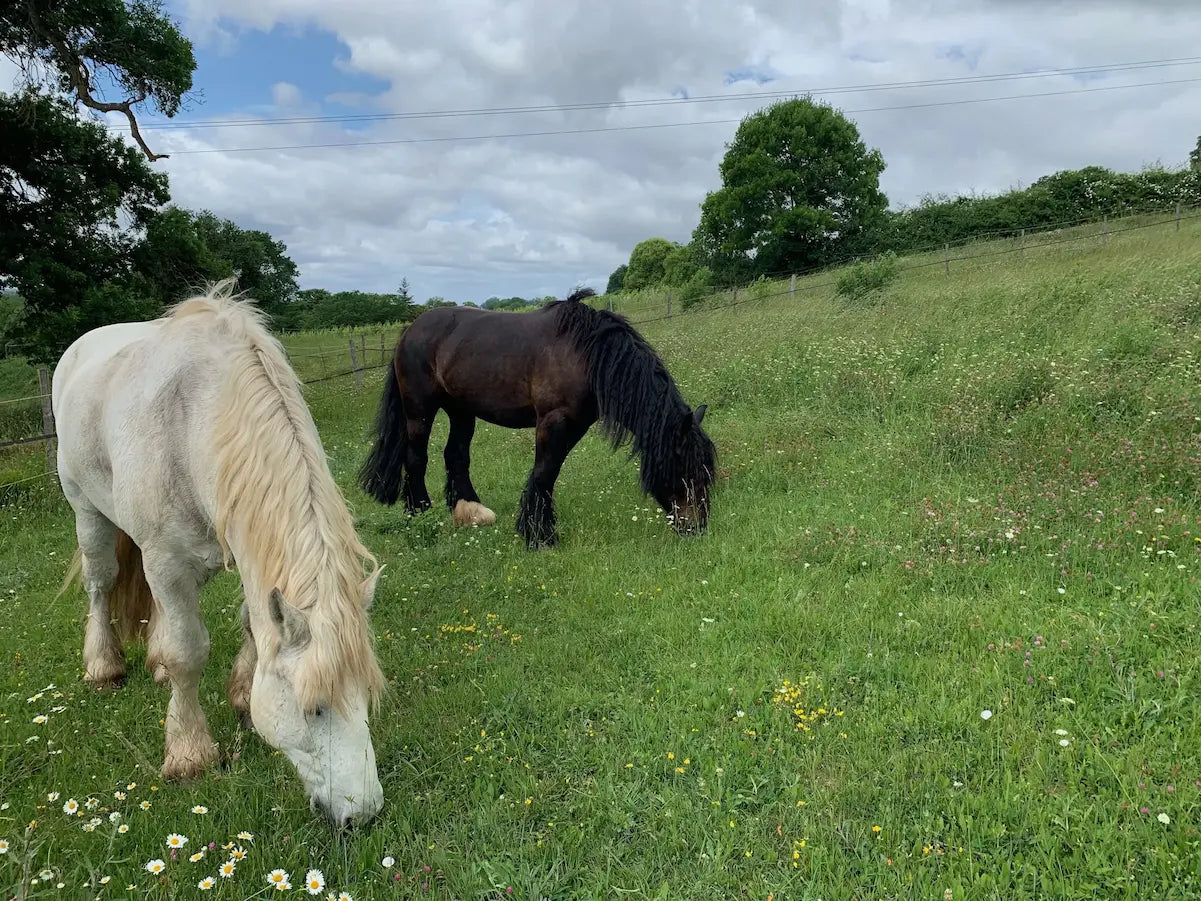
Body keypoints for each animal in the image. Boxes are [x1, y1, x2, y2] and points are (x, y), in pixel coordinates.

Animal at [53, 280, 386, 827]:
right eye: (314, 708)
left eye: (364, 695)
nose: (364, 814)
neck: (197, 417)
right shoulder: (165, 561)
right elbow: (189, 652)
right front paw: (189, 753)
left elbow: (252, 623)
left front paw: (242, 695)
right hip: (88, 512)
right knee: (101, 585)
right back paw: (104, 667)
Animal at [358, 287, 716, 549]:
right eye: (685, 471)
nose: (696, 528)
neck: (586, 355)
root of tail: (410, 330)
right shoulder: (553, 423)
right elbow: (545, 473)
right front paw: (540, 535)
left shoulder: (575, 425)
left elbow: (547, 474)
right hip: (419, 410)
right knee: (415, 457)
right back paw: (418, 512)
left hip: (461, 411)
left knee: (455, 455)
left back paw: (471, 510)